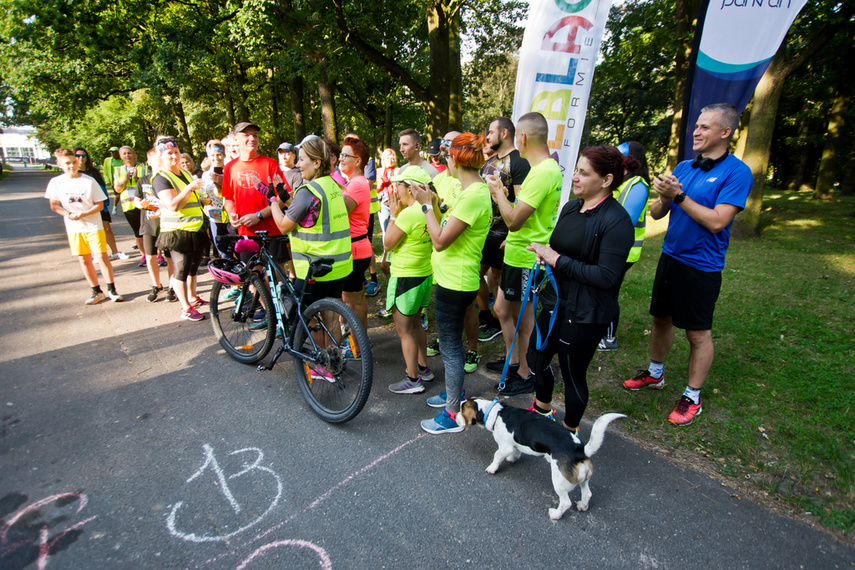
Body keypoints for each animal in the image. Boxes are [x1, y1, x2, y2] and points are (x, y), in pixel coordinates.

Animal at [458, 398, 624, 516]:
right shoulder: (514, 444)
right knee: (587, 493)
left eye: (461, 410)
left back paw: (555, 515)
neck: (495, 412)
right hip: (583, 478)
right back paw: (583, 506)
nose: (455, 416)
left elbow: (497, 456)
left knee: (565, 503)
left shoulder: (504, 447)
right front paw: (513, 459)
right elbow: (516, 451)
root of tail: (579, 450)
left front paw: (492, 468)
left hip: (559, 481)